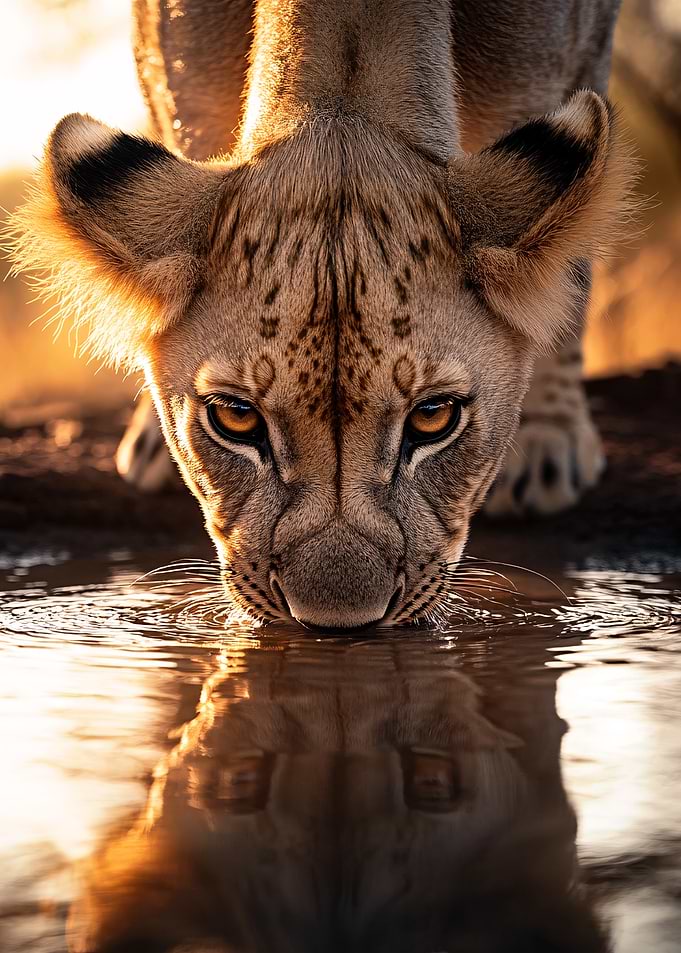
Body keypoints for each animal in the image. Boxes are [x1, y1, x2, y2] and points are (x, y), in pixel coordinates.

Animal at [9, 0, 632, 628]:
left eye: (434, 417)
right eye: (235, 418)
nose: (336, 626)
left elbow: (571, 272)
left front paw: (548, 440)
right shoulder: (177, 59)